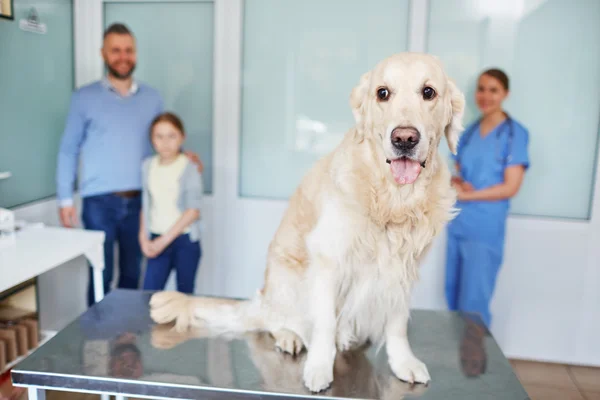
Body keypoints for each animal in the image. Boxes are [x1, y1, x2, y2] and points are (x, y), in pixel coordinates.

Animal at [149, 52, 464, 394]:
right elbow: (324, 323)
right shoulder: (328, 259)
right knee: (276, 320)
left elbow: (396, 324)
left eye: (429, 92)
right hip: (289, 278)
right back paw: (290, 336)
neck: (393, 198)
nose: (404, 138)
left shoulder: (404, 267)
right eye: (383, 93)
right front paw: (318, 368)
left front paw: (403, 362)